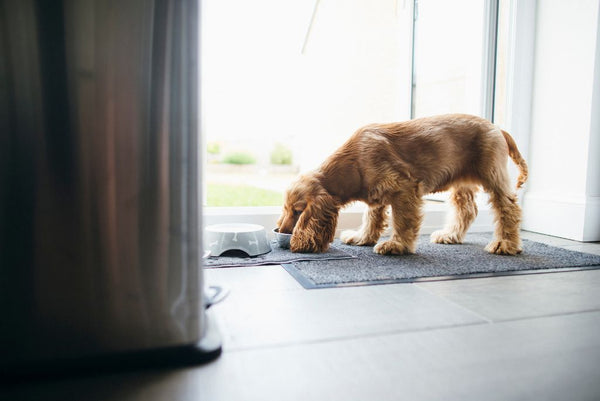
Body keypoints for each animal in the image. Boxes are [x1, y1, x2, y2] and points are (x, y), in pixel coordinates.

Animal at [278, 114, 528, 255]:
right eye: (286, 209)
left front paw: (397, 246)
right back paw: (450, 235)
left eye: (298, 211)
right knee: (467, 210)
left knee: (508, 208)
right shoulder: (377, 193)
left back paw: (505, 244)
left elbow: (403, 221)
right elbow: (372, 217)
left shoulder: (405, 188)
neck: (354, 161)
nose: (281, 231)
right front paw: (362, 238)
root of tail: (497, 128)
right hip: (461, 183)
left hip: (493, 175)